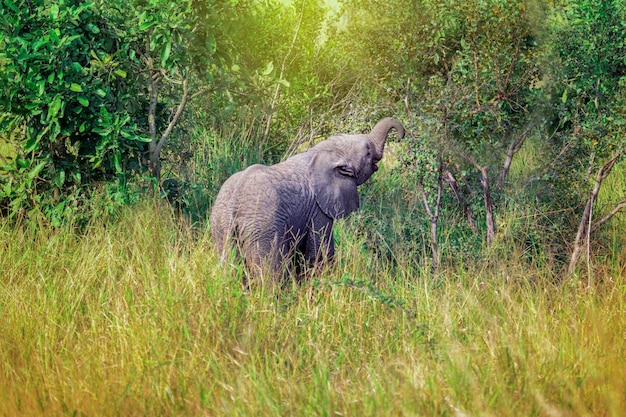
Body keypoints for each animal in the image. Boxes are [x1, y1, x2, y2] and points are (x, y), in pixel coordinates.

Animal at [210, 116, 404, 282]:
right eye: (368, 152)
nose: (401, 135)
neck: (326, 150)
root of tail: (234, 204)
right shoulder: (318, 209)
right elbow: (319, 251)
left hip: (220, 226)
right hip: (264, 228)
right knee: (270, 273)